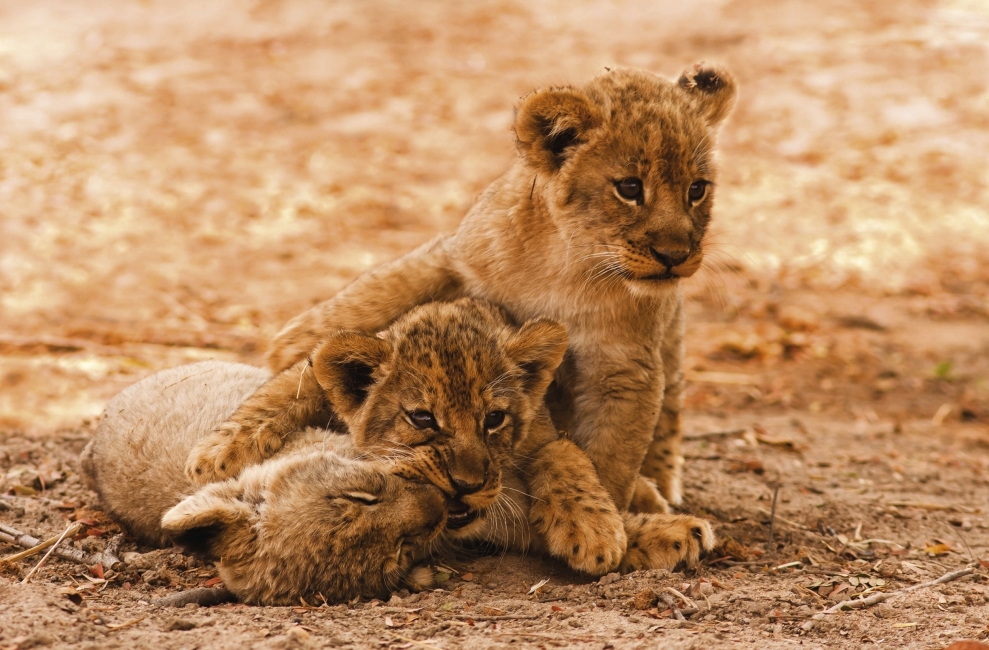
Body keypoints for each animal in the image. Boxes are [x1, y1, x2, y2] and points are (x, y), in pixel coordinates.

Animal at [185, 298, 714, 576]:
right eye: (423, 418)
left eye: (494, 419)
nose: (466, 484)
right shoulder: (315, 374)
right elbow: (284, 387)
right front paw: (215, 455)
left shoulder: (542, 433)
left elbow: (563, 454)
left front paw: (597, 532)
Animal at [191, 63, 737, 514]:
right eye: (629, 188)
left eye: (697, 189)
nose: (676, 255)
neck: (574, 269)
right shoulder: (459, 261)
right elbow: (371, 303)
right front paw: (224, 445)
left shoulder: (625, 366)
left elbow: (613, 456)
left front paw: (608, 525)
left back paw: (656, 490)